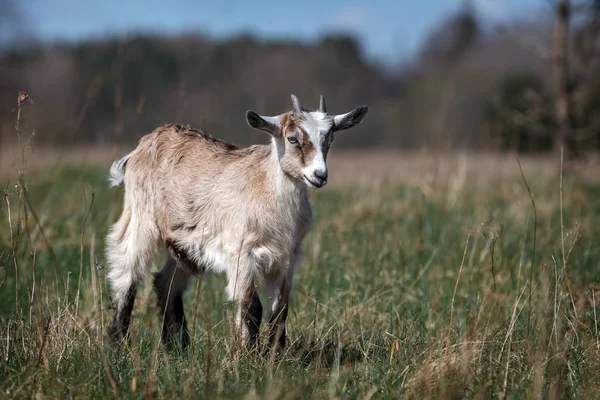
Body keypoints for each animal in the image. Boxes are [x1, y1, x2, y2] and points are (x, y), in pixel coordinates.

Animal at [107, 95, 368, 352]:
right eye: (293, 138)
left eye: (330, 139)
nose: (319, 175)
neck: (266, 190)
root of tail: (146, 143)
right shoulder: (241, 253)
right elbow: (251, 306)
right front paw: (248, 355)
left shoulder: (286, 259)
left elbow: (280, 309)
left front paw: (277, 356)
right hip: (140, 218)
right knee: (126, 273)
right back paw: (119, 344)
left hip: (184, 244)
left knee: (166, 283)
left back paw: (177, 347)